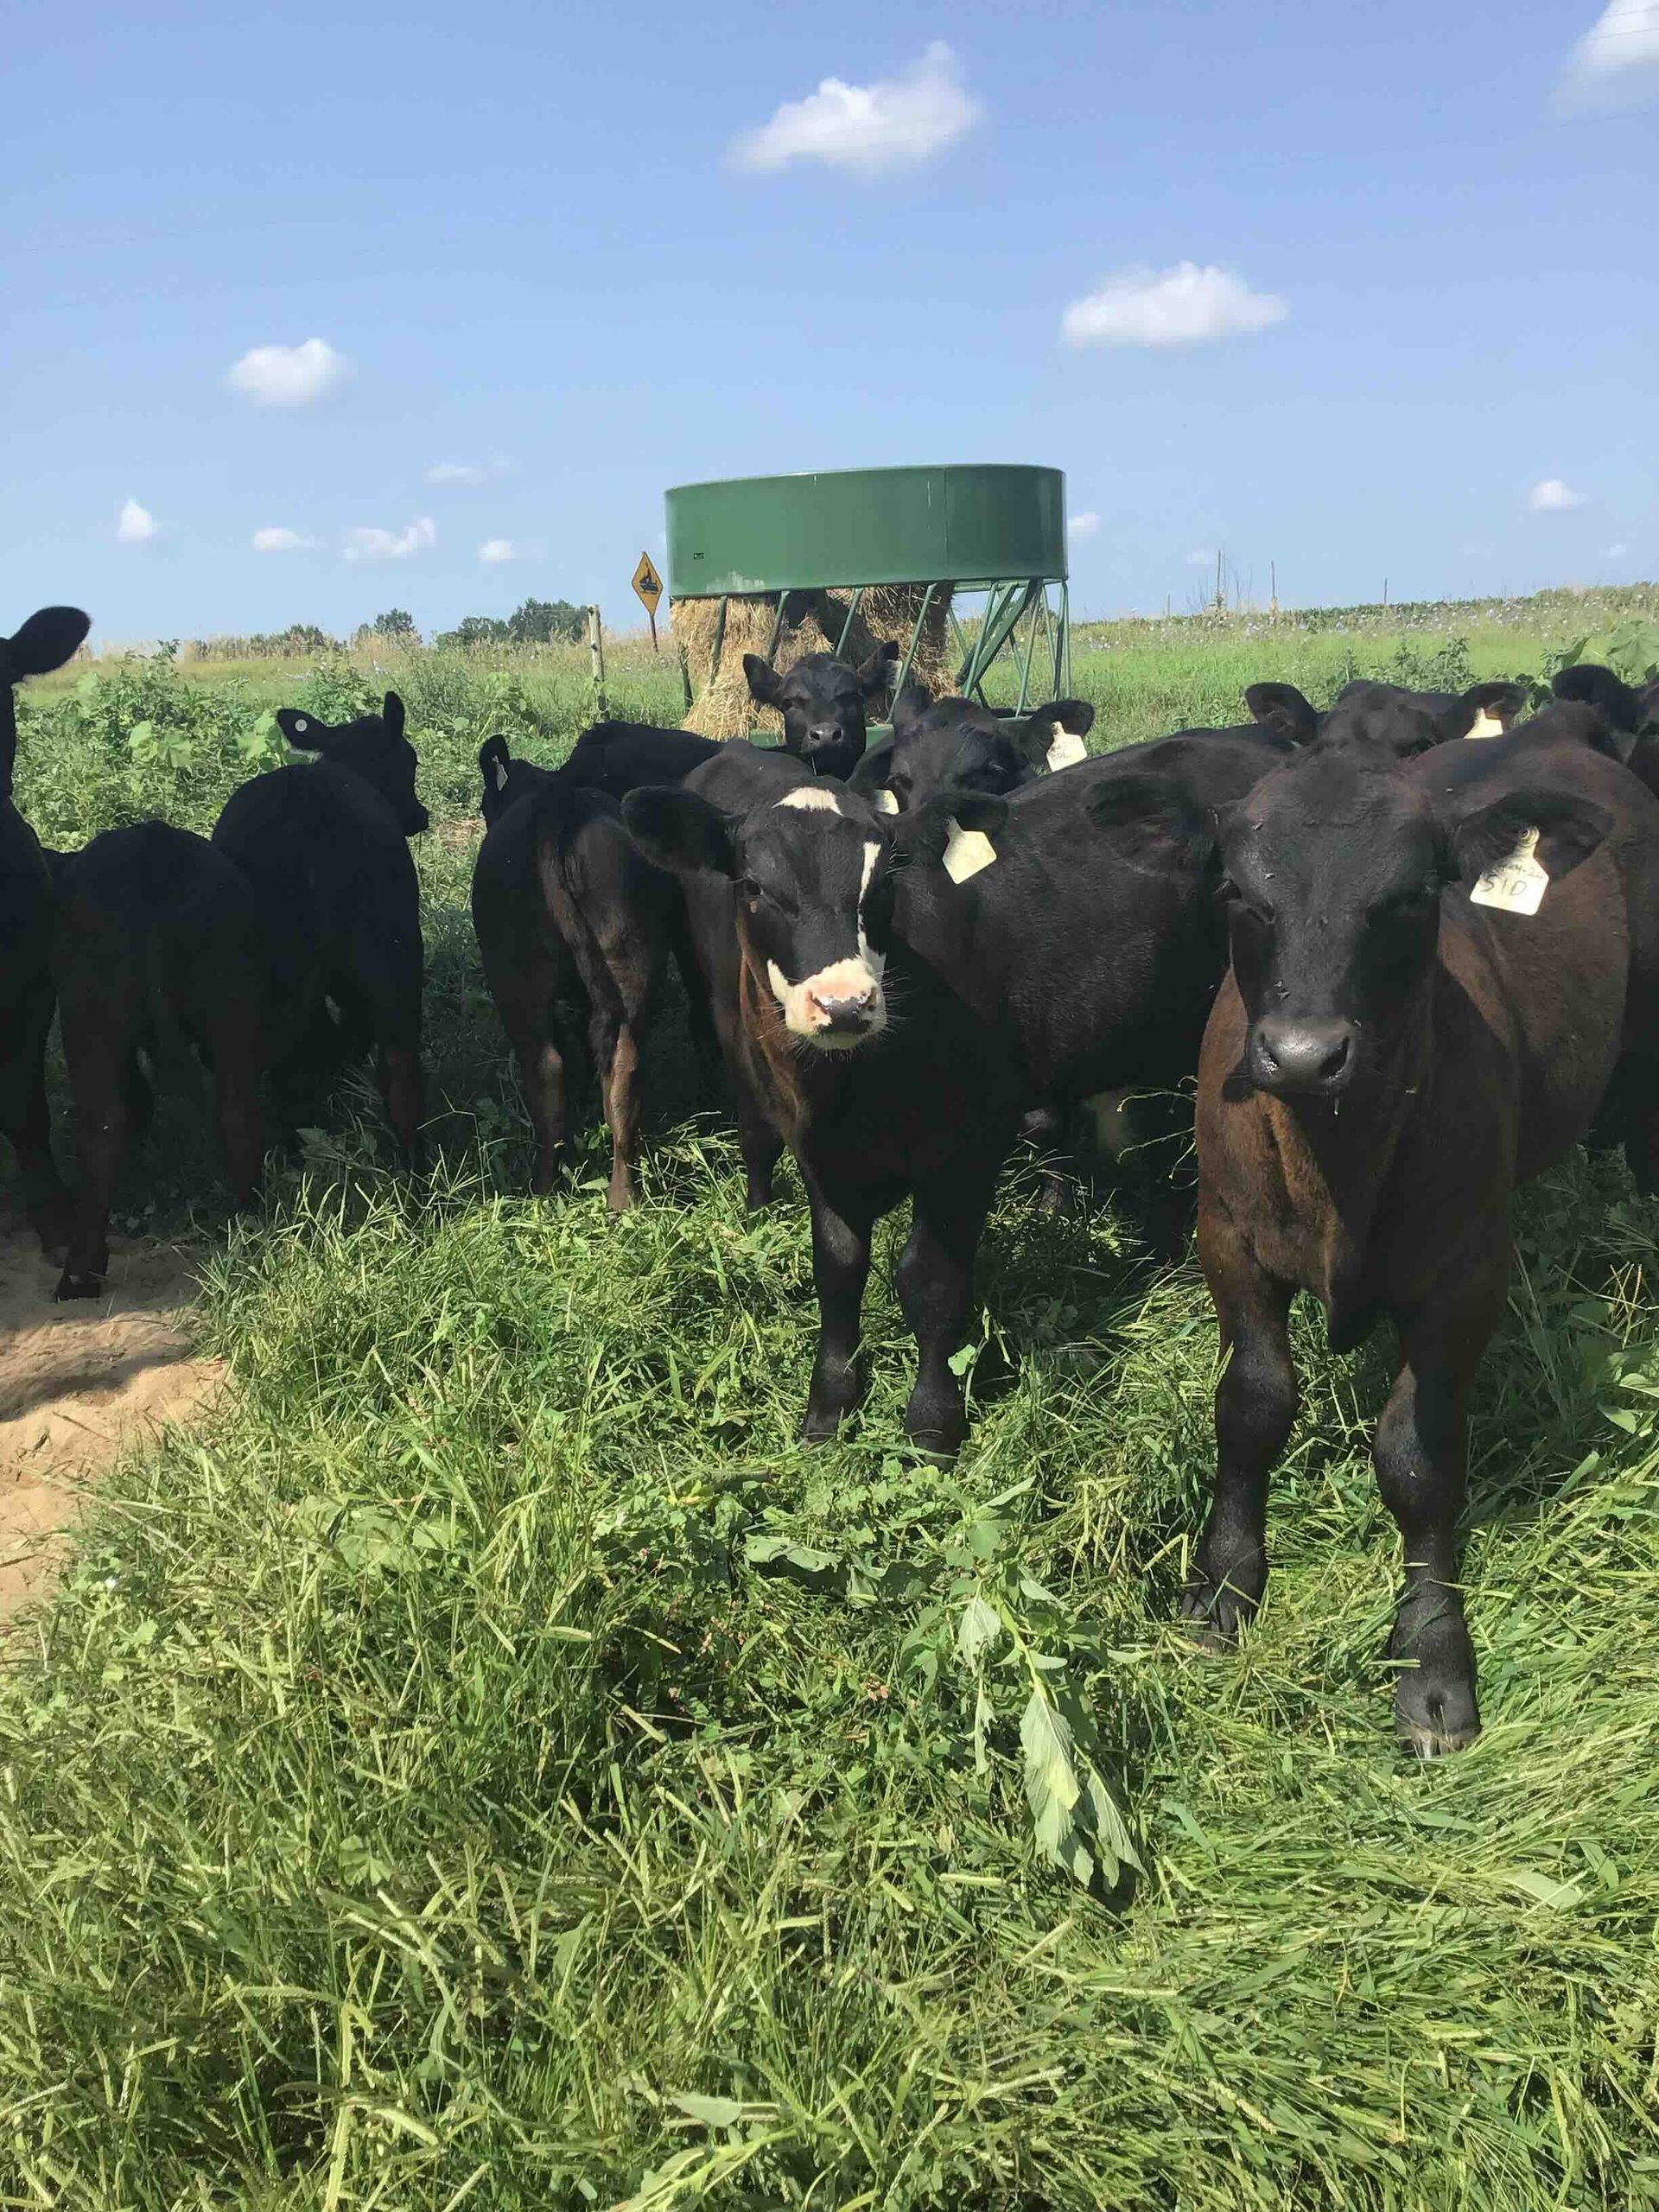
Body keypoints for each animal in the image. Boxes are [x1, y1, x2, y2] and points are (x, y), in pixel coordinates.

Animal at [51, 824, 268, 1299]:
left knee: (104, 1125)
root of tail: (154, 846)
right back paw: (251, 1228)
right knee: (236, 1112)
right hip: (228, 1004)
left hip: (86, 1013)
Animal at [472, 738, 695, 1209]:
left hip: (517, 977)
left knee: (551, 1070)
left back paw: (546, 1188)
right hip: (620, 967)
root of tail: (558, 811)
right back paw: (618, 1197)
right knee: (618, 1070)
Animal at [624, 721, 1294, 1452]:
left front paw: (932, 1421)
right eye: (753, 885)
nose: (843, 1004)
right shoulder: (820, 1156)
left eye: (884, 883)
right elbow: (838, 1270)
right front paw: (828, 1409)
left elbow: (931, 1281)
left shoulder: (967, 1148)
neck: (851, 1089)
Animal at [1186, 730, 1659, 1755]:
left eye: (1408, 896)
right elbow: (1252, 1405)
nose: (1304, 1052)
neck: (1335, 1157)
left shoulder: (1465, 1274)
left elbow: (1418, 1457)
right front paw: (1224, 1580)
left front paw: (1433, 1656)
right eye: (1239, 890)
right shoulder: (1227, 1235)